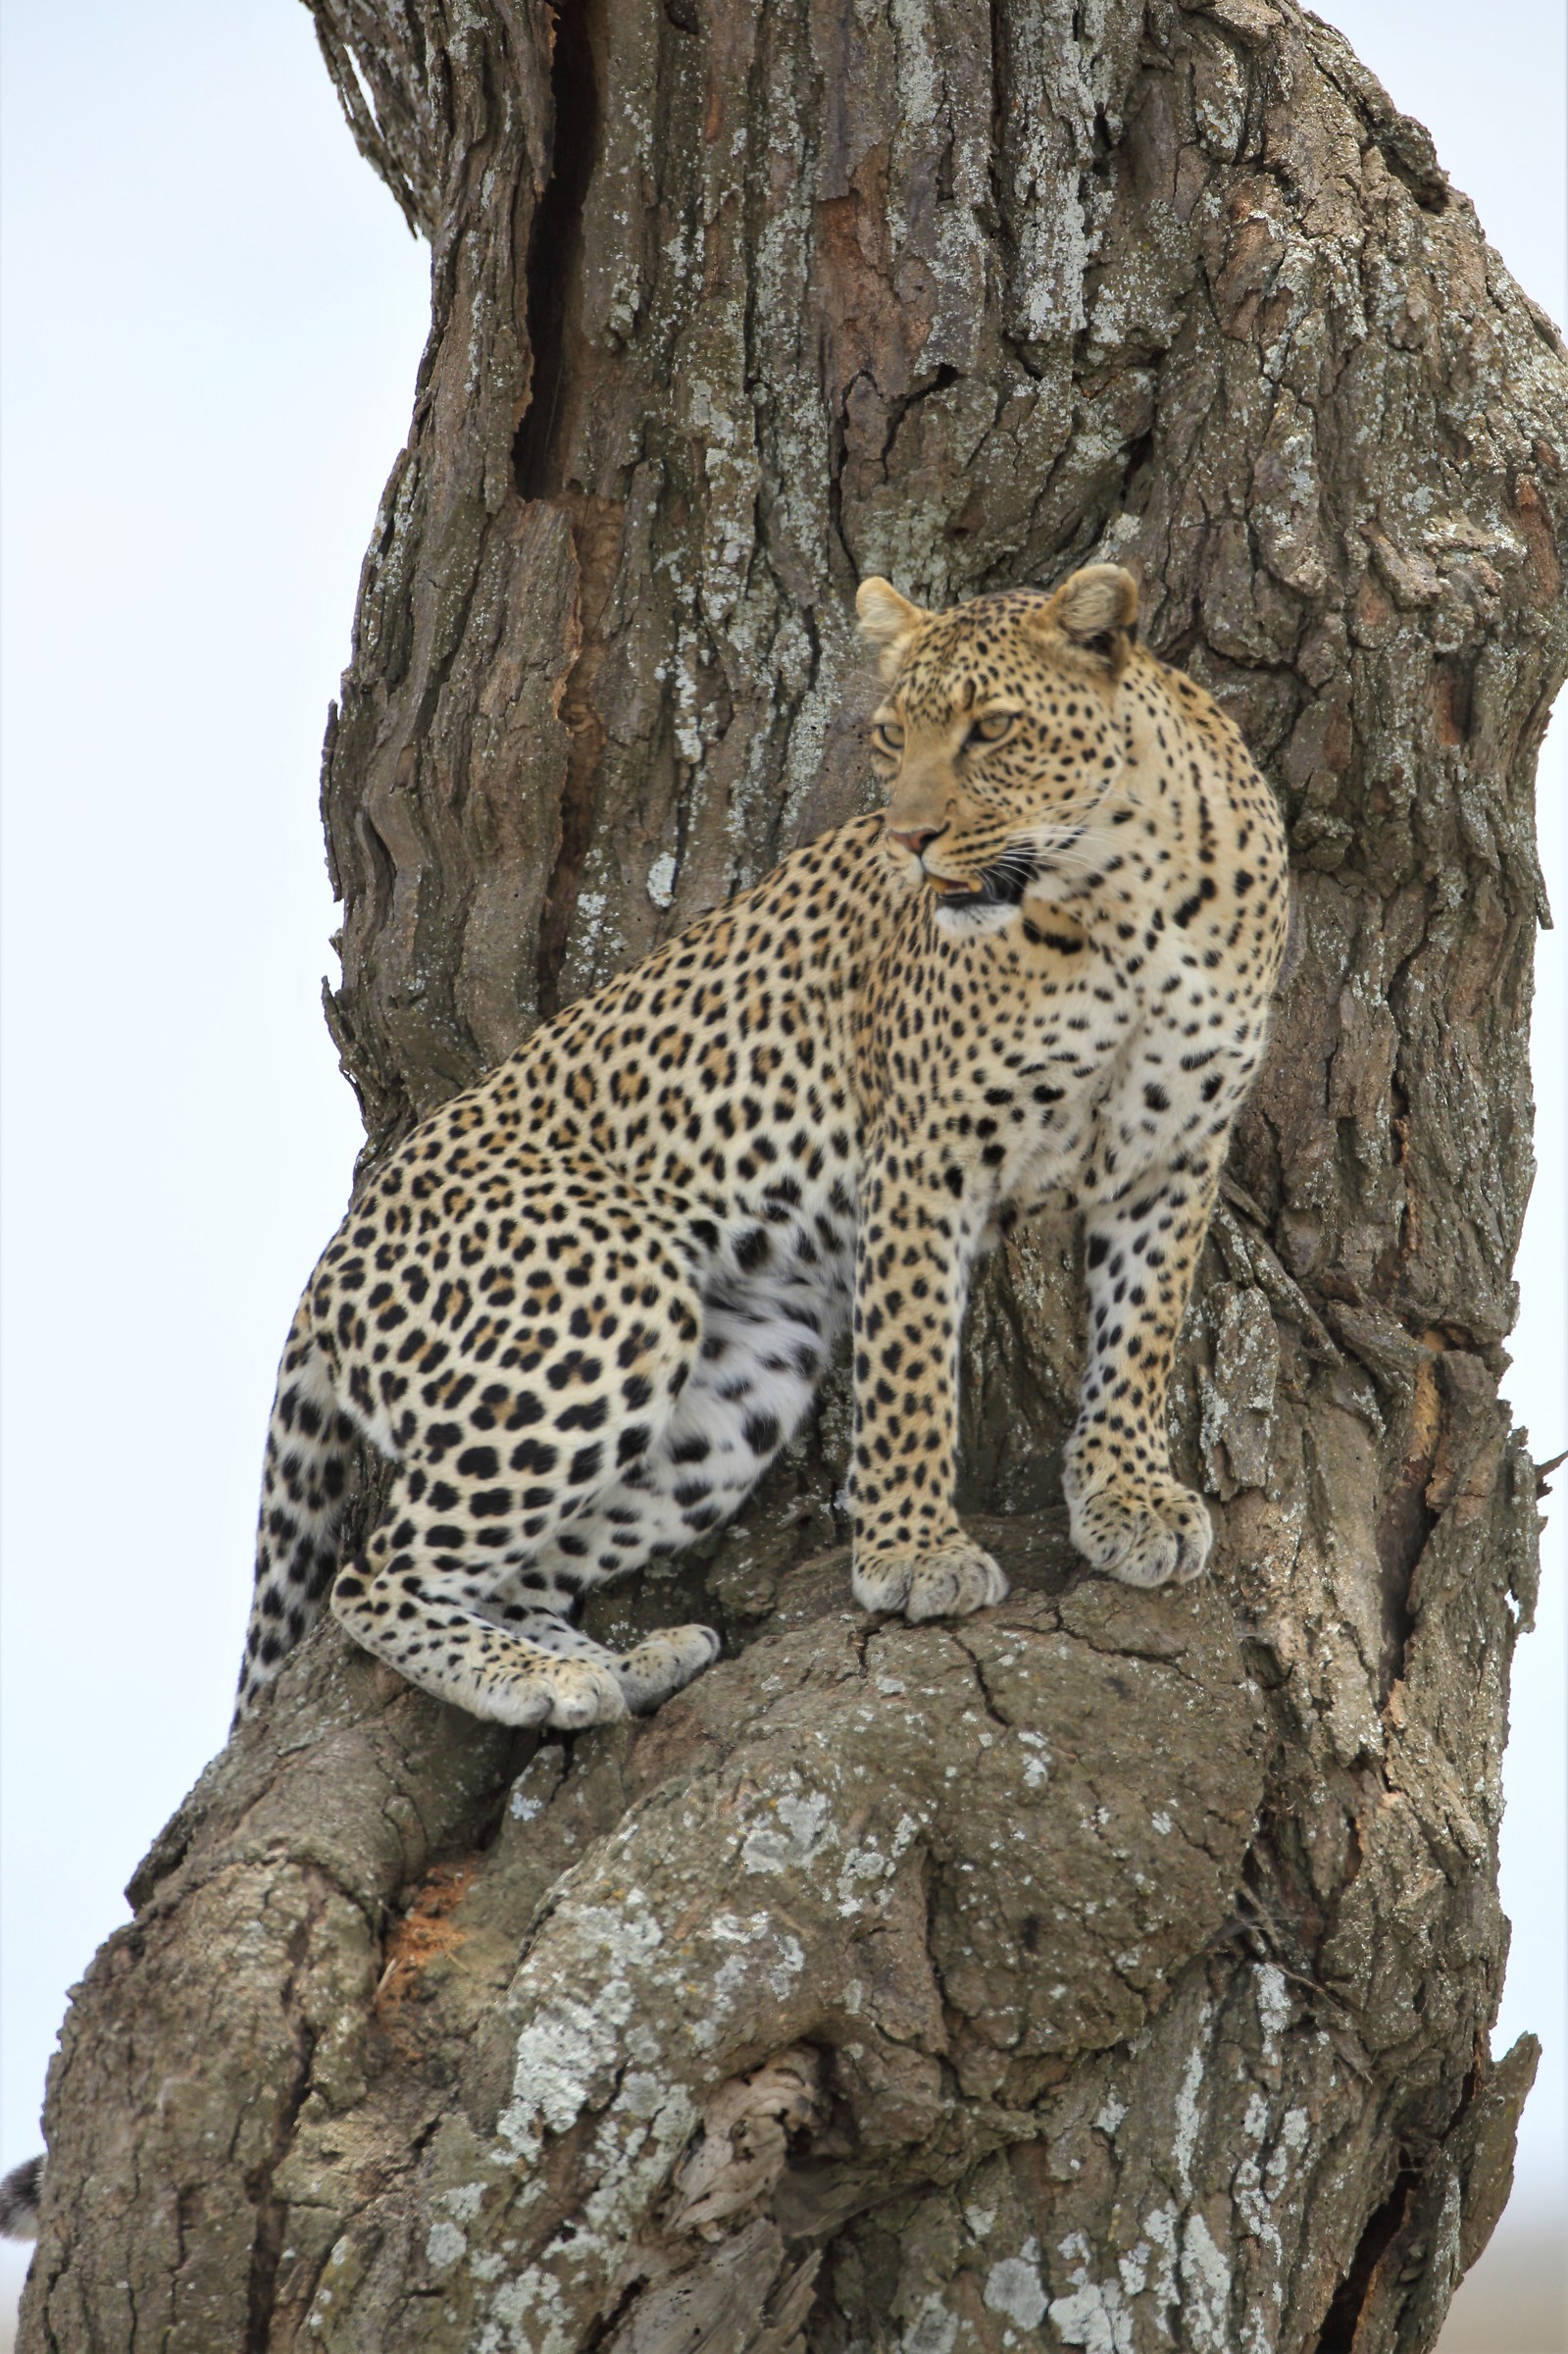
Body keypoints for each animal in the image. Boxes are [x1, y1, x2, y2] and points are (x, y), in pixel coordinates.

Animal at [235, 562, 1288, 1735]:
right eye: (890, 736)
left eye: (992, 729)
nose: (907, 841)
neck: (1124, 903)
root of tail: (330, 1264)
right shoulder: (923, 1155)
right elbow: (910, 1370)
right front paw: (913, 1554)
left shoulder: (1175, 1153)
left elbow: (1141, 1335)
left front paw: (1126, 1497)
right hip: (608, 1304)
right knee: (371, 1580)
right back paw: (538, 1678)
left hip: (743, 1391)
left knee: (514, 1573)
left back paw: (625, 1664)